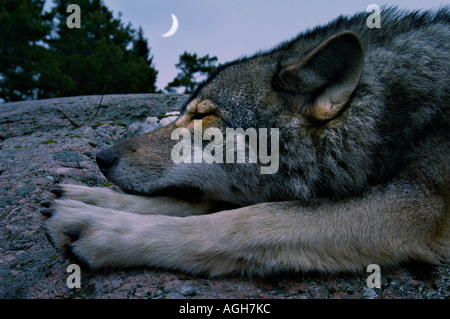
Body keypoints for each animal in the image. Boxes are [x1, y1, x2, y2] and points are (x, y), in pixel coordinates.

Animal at [40, 7, 448, 278]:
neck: (389, 111)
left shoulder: (418, 203)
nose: (101, 157)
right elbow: (194, 205)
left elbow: (246, 220)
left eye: (203, 116)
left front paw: (101, 226)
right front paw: (89, 197)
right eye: (184, 112)